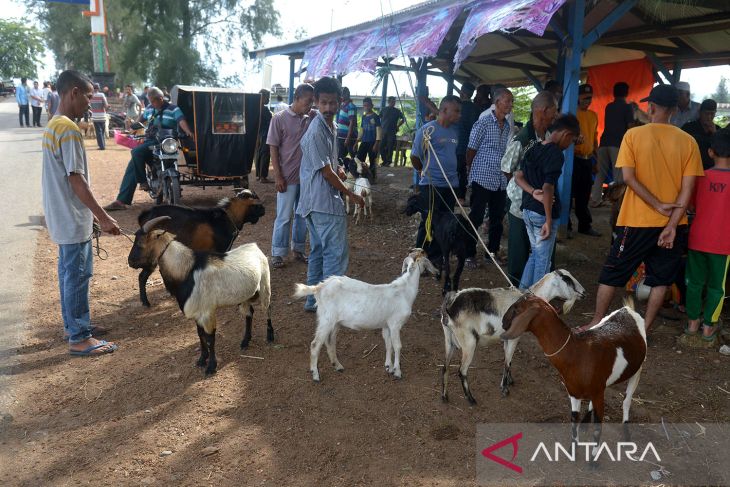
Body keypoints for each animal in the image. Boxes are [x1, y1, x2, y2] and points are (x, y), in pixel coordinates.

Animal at [134, 190, 264, 306]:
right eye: (255, 204)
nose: (264, 209)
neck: (228, 218)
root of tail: (145, 215)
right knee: (142, 276)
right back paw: (145, 302)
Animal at [292, 250, 438, 384]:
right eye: (427, 260)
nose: (437, 273)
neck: (404, 291)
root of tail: (319, 287)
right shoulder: (395, 324)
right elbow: (397, 346)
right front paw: (397, 372)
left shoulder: (386, 325)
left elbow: (388, 344)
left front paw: (388, 367)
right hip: (326, 319)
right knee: (315, 344)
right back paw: (316, 375)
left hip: (334, 322)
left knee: (330, 341)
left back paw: (337, 366)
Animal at [438, 270, 584, 404]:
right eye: (567, 279)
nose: (583, 292)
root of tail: (450, 306)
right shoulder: (514, 338)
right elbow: (507, 362)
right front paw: (505, 389)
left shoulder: (506, 338)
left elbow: (508, 359)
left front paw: (509, 380)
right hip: (469, 343)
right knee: (462, 371)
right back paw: (471, 399)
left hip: (449, 340)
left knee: (445, 366)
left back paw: (445, 396)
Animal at [498, 294, 644, 462]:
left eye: (516, 309)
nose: (503, 322)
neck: (577, 352)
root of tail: (627, 309)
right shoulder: (574, 392)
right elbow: (574, 420)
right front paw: (572, 451)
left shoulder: (597, 391)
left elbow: (598, 425)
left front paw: (593, 459)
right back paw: (586, 421)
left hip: (637, 370)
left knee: (626, 400)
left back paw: (626, 433)